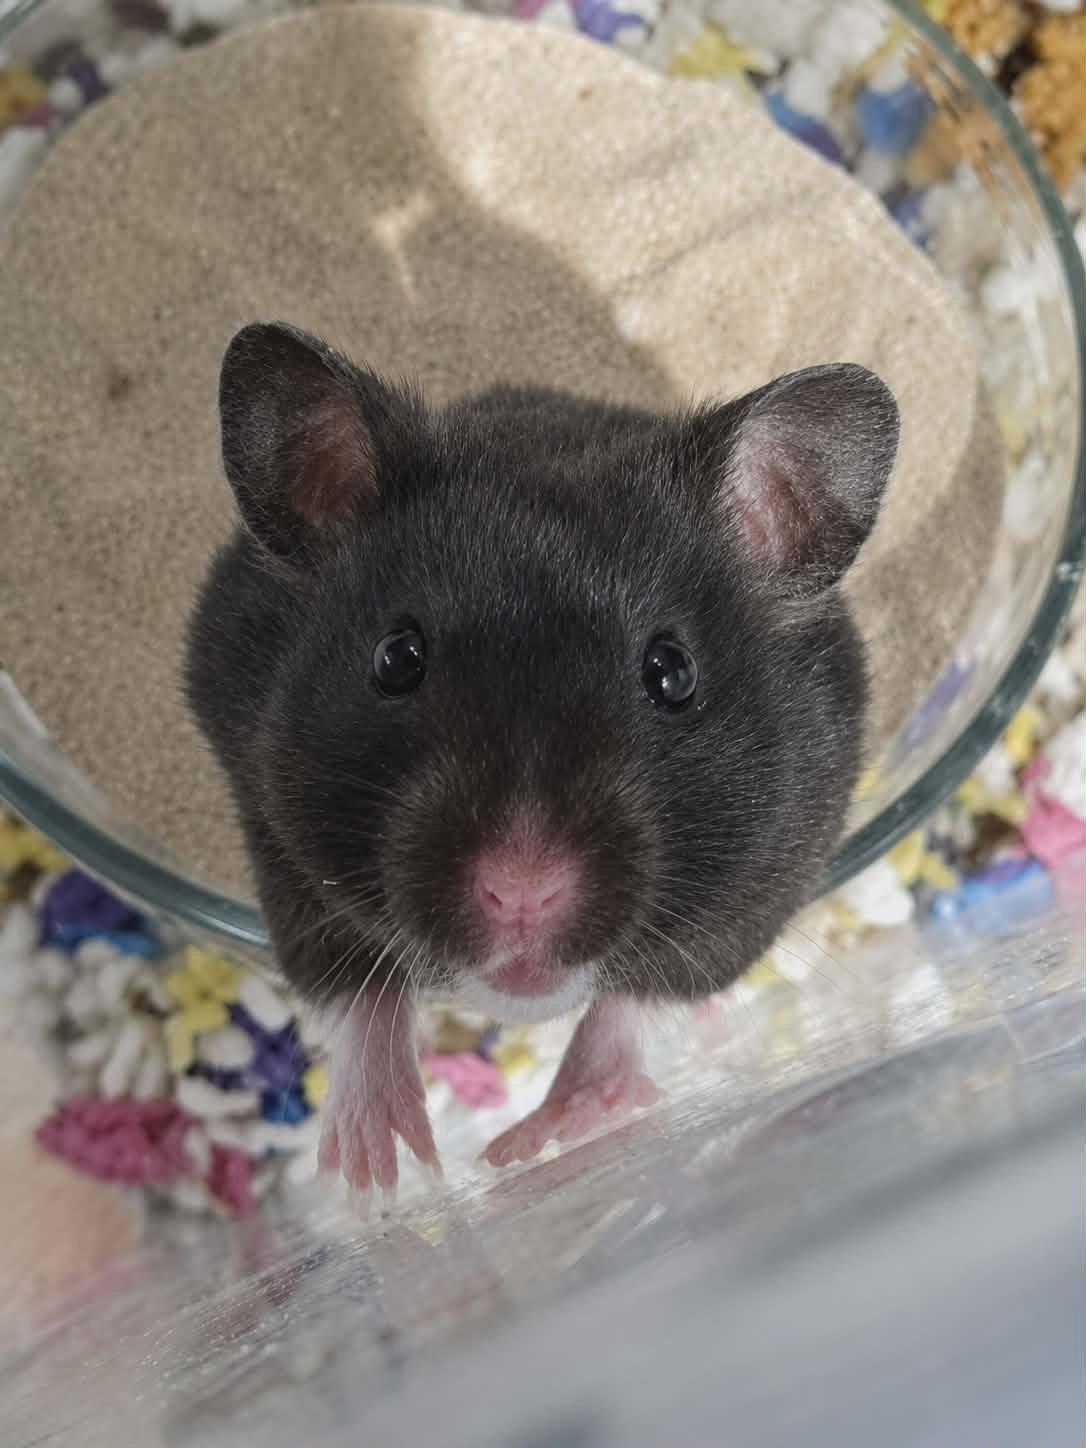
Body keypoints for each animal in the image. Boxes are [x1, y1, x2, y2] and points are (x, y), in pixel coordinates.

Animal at [186, 321, 899, 1188]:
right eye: (397, 657)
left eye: (672, 673)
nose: (522, 892)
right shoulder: (277, 842)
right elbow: (355, 988)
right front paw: (380, 1173)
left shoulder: (772, 876)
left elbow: (640, 996)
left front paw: (540, 1144)